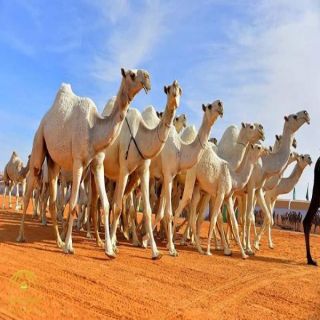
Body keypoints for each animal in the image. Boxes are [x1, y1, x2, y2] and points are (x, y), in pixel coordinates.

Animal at [146, 101, 224, 256]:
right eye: (210, 106)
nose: (220, 104)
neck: (181, 150)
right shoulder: (168, 175)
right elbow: (168, 212)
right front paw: (172, 248)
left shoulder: (169, 176)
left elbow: (162, 212)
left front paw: (146, 241)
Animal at [245, 111, 310, 254]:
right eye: (294, 116)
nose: (306, 113)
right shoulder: (265, 193)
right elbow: (261, 217)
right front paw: (254, 244)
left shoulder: (271, 195)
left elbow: (270, 219)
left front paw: (265, 244)